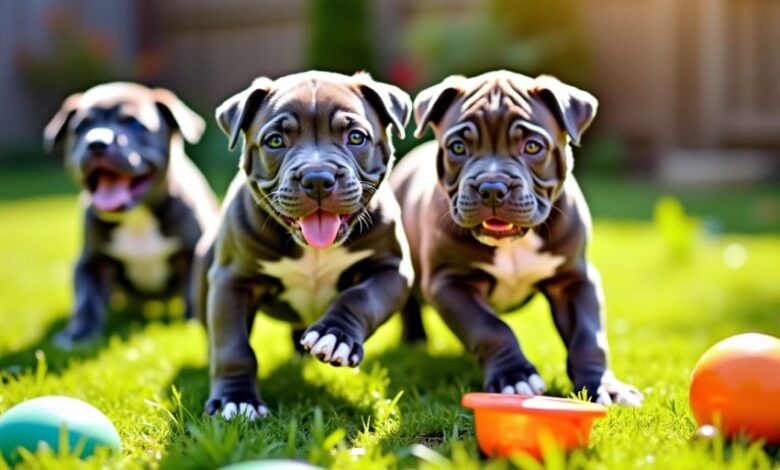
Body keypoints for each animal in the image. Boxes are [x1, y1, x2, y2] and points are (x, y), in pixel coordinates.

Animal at [43, 82, 219, 346]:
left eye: (136, 124)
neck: (138, 218)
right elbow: (87, 300)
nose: (97, 142)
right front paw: (79, 333)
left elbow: (191, 289)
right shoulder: (91, 263)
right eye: (81, 127)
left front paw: (193, 323)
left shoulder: (191, 254)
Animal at [394, 71, 644, 406]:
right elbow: (491, 328)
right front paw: (515, 377)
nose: (491, 187)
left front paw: (605, 386)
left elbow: (589, 337)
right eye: (458, 148)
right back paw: (414, 339)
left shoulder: (573, 280)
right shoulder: (450, 282)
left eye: (533, 146)